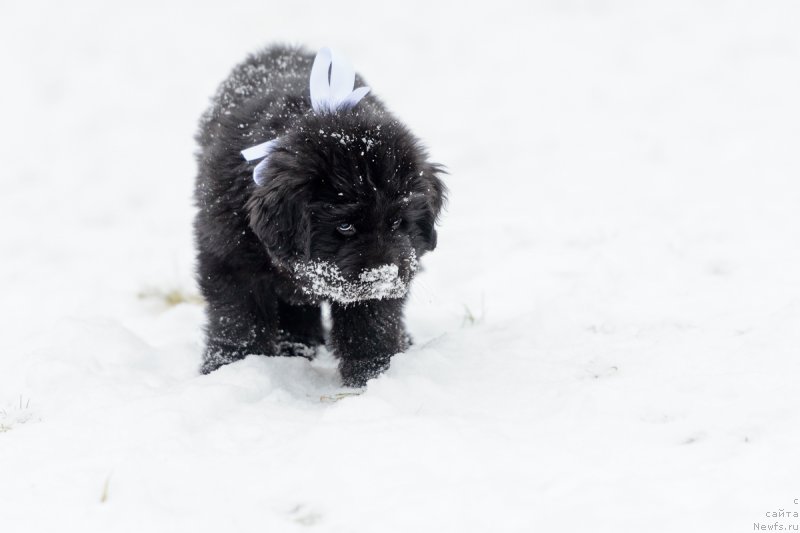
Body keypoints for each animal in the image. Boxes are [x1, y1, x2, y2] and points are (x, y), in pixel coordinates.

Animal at [191, 44, 446, 386]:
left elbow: (370, 324)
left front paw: (371, 375)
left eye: (395, 221)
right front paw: (230, 368)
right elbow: (239, 319)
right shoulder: (229, 260)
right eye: (345, 225)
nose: (382, 274)